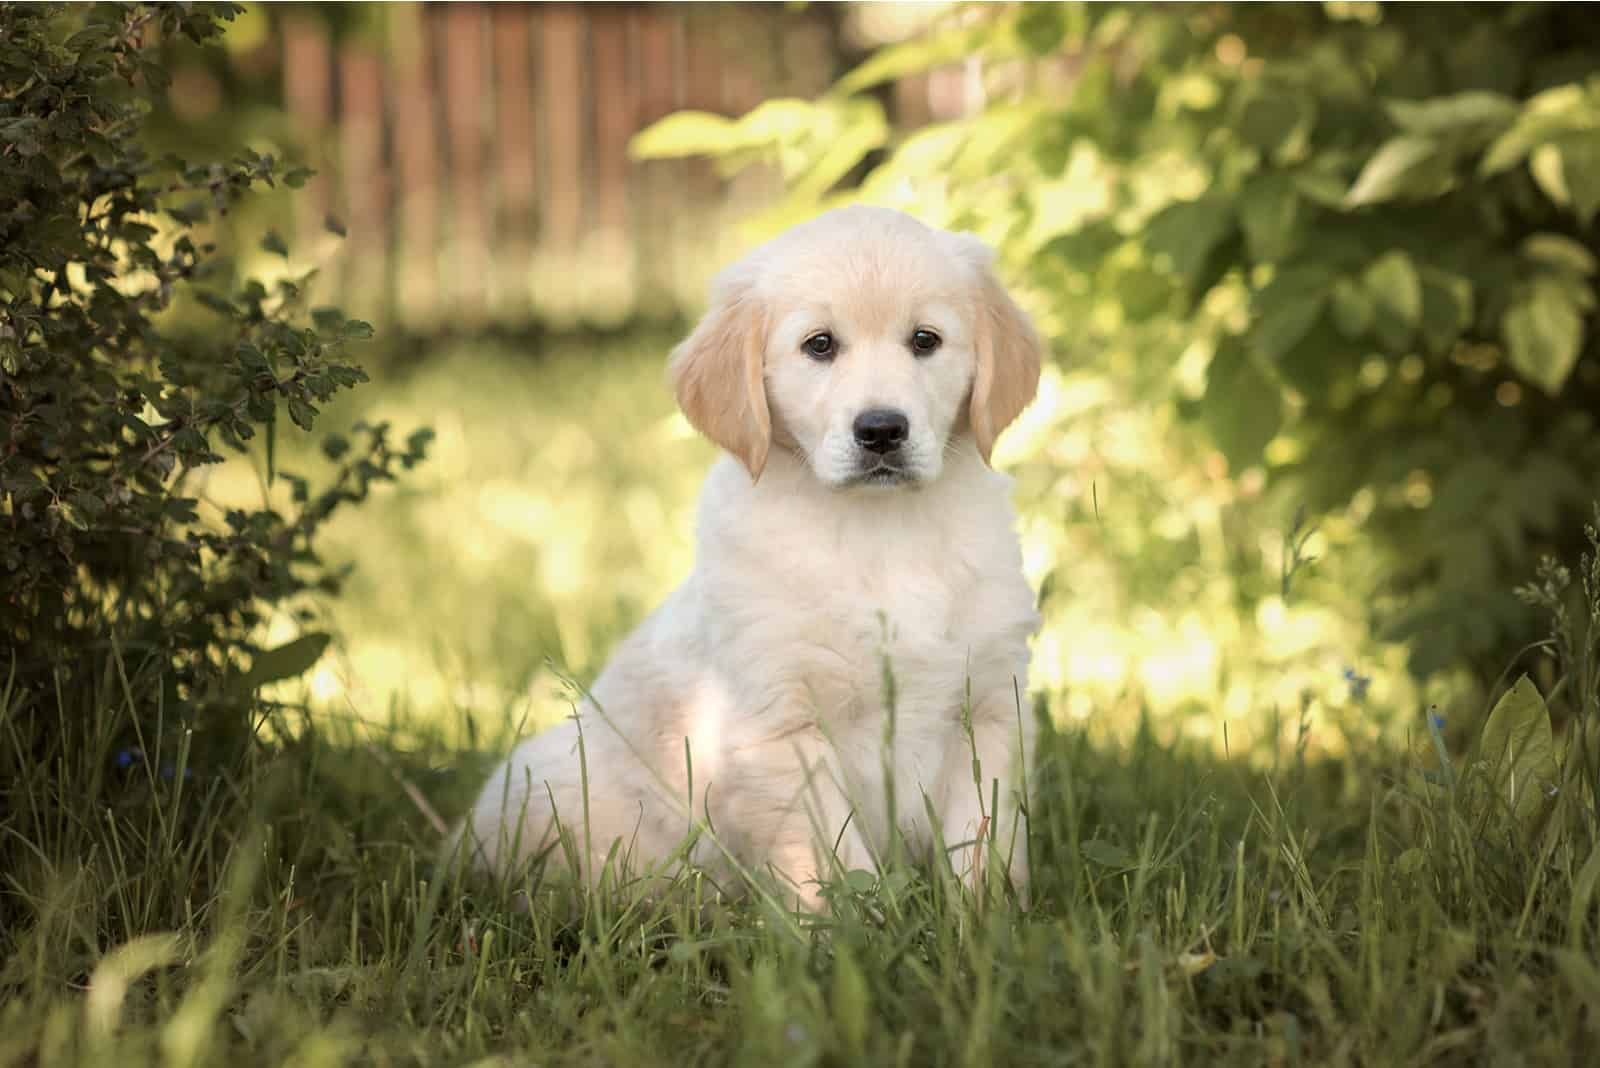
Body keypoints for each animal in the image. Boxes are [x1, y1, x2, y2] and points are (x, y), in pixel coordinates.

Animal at [457, 204, 1043, 908]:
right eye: (820, 345)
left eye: (925, 340)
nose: (881, 430)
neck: (880, 530)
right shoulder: (782, 727)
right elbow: (832, 863)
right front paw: (855, 926)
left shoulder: (989, 706)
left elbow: (982, 842)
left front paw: (983, 920)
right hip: (548, 787)